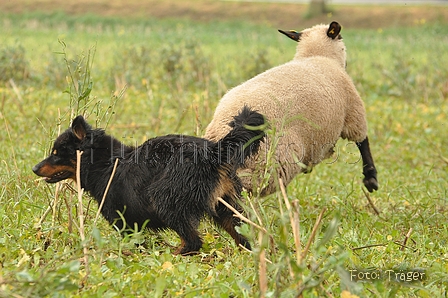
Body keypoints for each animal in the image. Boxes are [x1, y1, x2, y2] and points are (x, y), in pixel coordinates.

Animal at [33, 106, 264, 254]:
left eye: (56, 153)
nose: (34, 168)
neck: (106, 163)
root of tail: (213, 152)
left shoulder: (123, 222)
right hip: (227, 209)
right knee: (242, 237)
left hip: (165, 199)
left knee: (193, 242)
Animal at [206, 22, 378, 197]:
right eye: (341, 37)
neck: (317, 56)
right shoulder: (353, 112)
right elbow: (362, 142)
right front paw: (371, 179)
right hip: (267, 164)